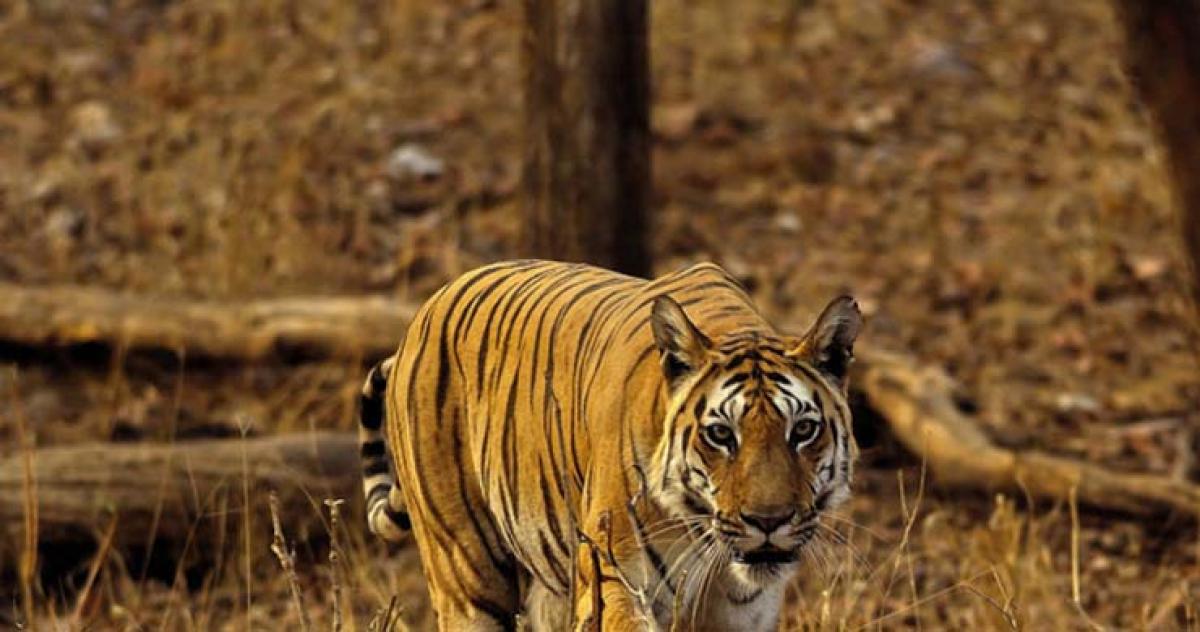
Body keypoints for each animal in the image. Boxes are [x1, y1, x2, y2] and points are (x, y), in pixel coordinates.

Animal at [355, 260, 864, 628]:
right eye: (721, 435)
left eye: (802, 430)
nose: (769, 522)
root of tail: (424, 312)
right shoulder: (614, 577)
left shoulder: (745, 609)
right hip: (466, 575)